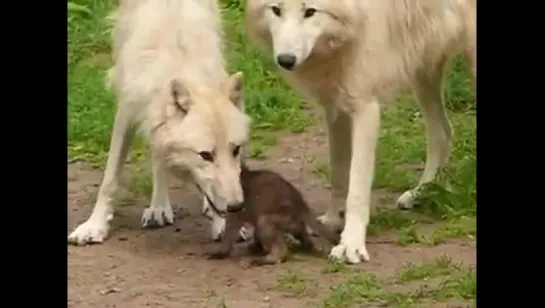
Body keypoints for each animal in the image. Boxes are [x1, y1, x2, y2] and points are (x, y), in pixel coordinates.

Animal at [68, 0, 253, 245]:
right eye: (205, 155)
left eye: (236, 150)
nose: (236, 206)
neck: (180, 61)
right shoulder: (127, 112)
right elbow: (109, 180)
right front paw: (94, 227)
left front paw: (226, 223)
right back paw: (158, 207)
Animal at [244, 0, 474, 264]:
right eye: (276, 10)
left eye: (310, 11)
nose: (285, 59)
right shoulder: (335, 109)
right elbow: (338, 174)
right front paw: (332, 219)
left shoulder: (365, 107)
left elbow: (357, 188)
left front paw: (351, 244)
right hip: (423, 69)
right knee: (442, 132)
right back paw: (420, 193)